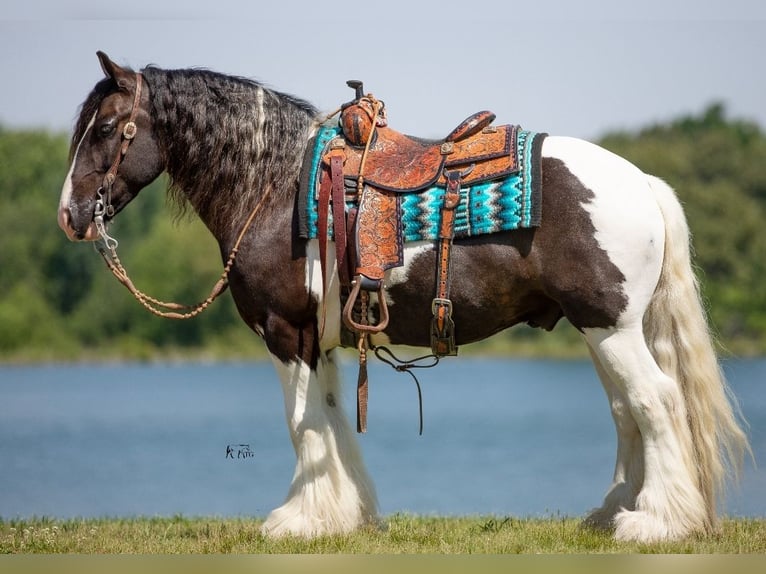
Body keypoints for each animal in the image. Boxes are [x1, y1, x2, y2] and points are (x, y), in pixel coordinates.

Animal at [58, 51, 752, 544]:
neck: (275, 187)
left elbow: (302, 425)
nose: (69, 215)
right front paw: (346, 516)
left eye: (109, 128)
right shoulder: (321, 342)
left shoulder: (287, 334)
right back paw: (614, 513)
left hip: (610, 327)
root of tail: (641, 181)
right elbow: (332, 418)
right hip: (602, 329)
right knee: (626, 409)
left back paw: (657, 522)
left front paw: (299, 520)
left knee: (655, 400)